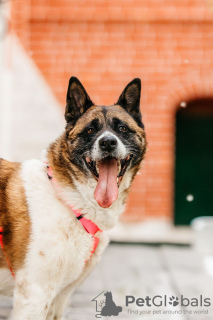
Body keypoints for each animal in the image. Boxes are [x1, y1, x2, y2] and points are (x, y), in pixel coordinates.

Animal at [0, 78, 146, 320]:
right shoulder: (34, 294)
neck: (71, 201)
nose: (108, 143)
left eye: (122, 129)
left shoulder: (58, 298)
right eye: (90, 130)